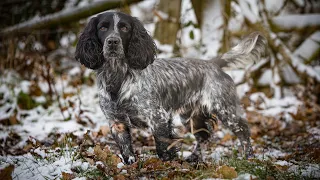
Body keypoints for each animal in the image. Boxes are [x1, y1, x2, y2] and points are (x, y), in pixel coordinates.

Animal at [75, 10, 268, 163]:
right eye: (102, 28)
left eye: (124, 28)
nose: (113, 42)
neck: (118, 76)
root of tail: (213, 64)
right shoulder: (116, 123)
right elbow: (126, 150)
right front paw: (131, 166)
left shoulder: (157, 118)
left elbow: (163, 146)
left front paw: (167, 165)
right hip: (190, 116)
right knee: (204, 136)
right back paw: (194, 158)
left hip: (226, 110)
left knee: (243, 132)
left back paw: (249, 158)